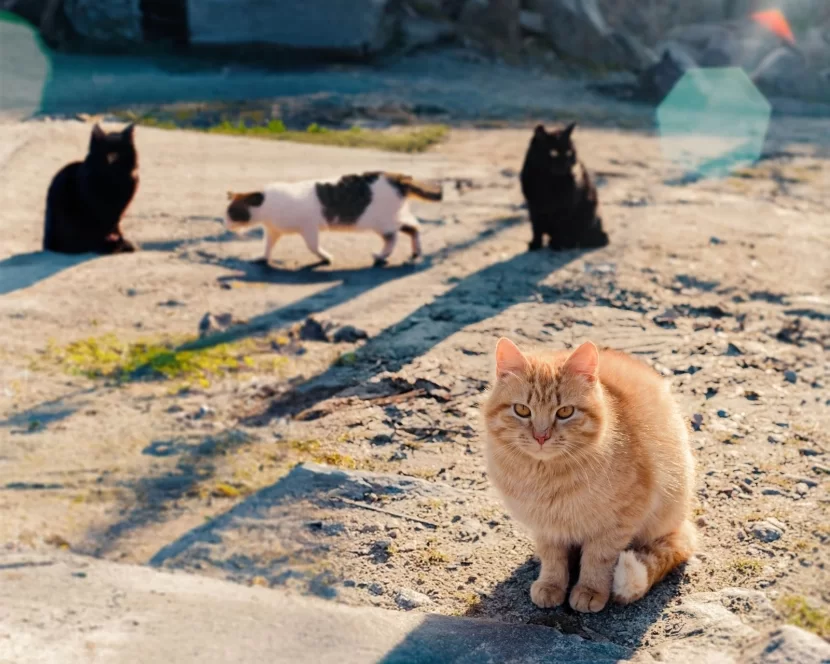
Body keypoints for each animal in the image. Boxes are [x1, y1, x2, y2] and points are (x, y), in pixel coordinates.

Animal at [43, 123, 140, 253]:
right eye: (105, 153)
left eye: (118, 154)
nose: (111, 159)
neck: (113, 179)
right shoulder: (99, 208)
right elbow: (106, 227)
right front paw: (115, 242)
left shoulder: (119, 212)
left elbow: (116, 226)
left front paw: (120, 239)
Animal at [221, 171, 442, 268]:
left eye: (231, 213)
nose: (226, 223)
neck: (267, 206)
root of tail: (398, 177)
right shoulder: (273, 231)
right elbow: (267, 246)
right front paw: (263, 257)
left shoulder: (309, 228)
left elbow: (313, 247)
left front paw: (325, 257)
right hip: (393, 217)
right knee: (414, 228)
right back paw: (415, 251)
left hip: (382, 221)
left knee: (393, 238)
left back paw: (381, 256)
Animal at [484, 340, 700, 616]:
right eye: (522, 410)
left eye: (565, 412)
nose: (541, 436)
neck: (545, 476)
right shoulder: (545, 525)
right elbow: (552, 557)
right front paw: (550, 584)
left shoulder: (616, 523)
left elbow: (598, 559)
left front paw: (590, 590)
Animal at [520, 122, 612, 252]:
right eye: (553, 152)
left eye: (569, 153)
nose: (566, 163)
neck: (547, 181)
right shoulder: (533, 207)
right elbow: (536, 228)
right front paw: (535, 244)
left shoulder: (565, 207)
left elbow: (560, 227)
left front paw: (557, 245)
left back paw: (566, 243)